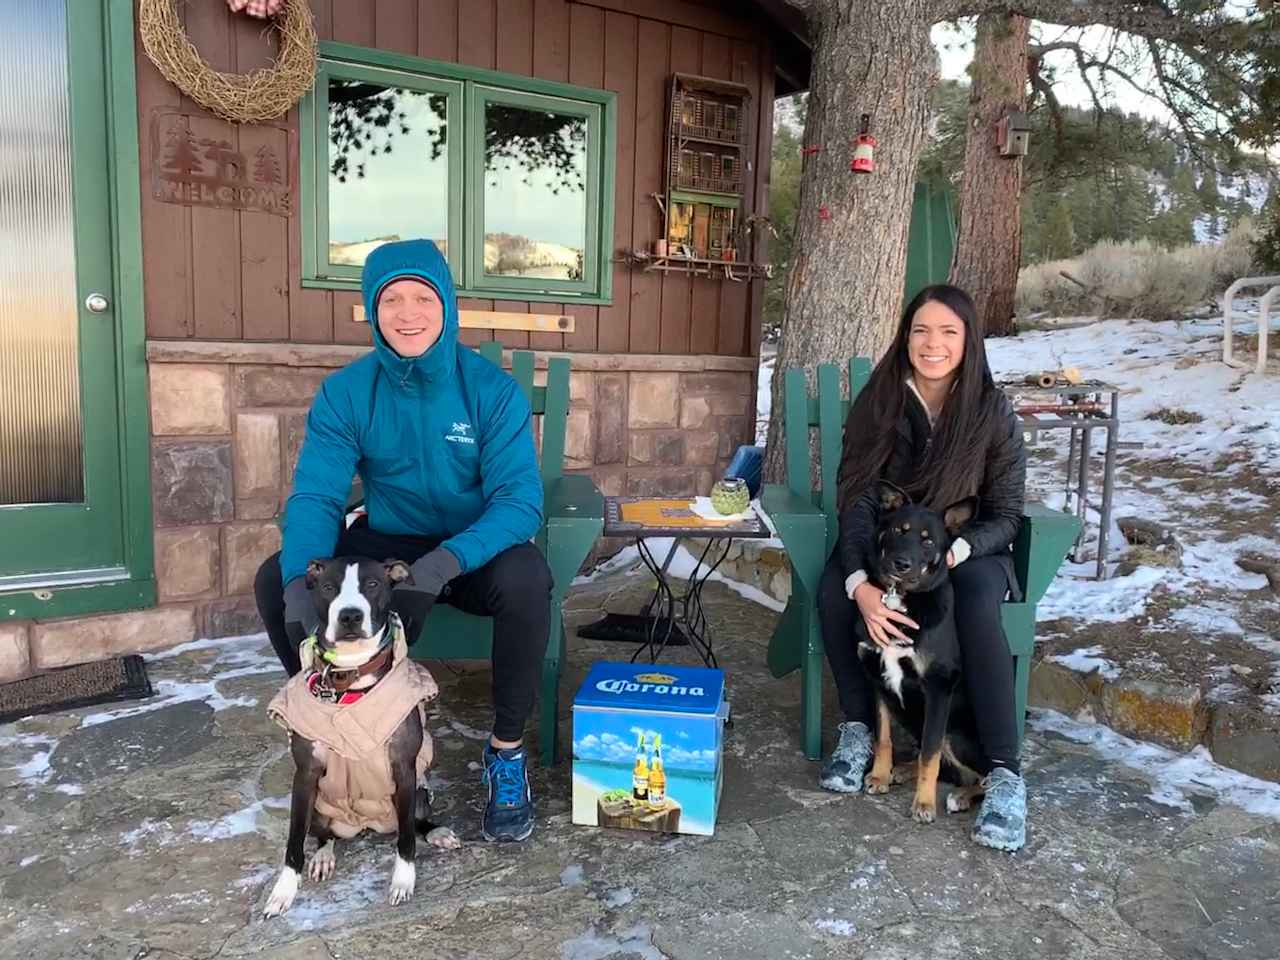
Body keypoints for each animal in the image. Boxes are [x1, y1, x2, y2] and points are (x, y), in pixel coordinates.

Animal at [261, 560, 460, 921]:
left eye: (372, 584)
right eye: (328, 587)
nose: (350, 616)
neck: (349, 676)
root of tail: (365, 826)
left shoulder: (403, 768)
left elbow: (406, 838)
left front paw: (403, 881)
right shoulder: (306, 774)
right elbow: (294, 842)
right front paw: (282, 892)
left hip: (419, 794)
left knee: (414, 823)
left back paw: (436, 832)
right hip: (319, 805)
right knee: (323, 835)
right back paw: (324, 856)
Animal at [860, 488, 988, 829]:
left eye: (928, 541)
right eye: (898, 530)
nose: (901, 563)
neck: (901, 599)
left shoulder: (938, 688)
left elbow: (930, 754)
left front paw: (924, 804)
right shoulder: (878, 680)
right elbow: (883, 738)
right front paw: (879, 776)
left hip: (956, 733)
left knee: (982, 775)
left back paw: (962, 796)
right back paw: (901, 771)